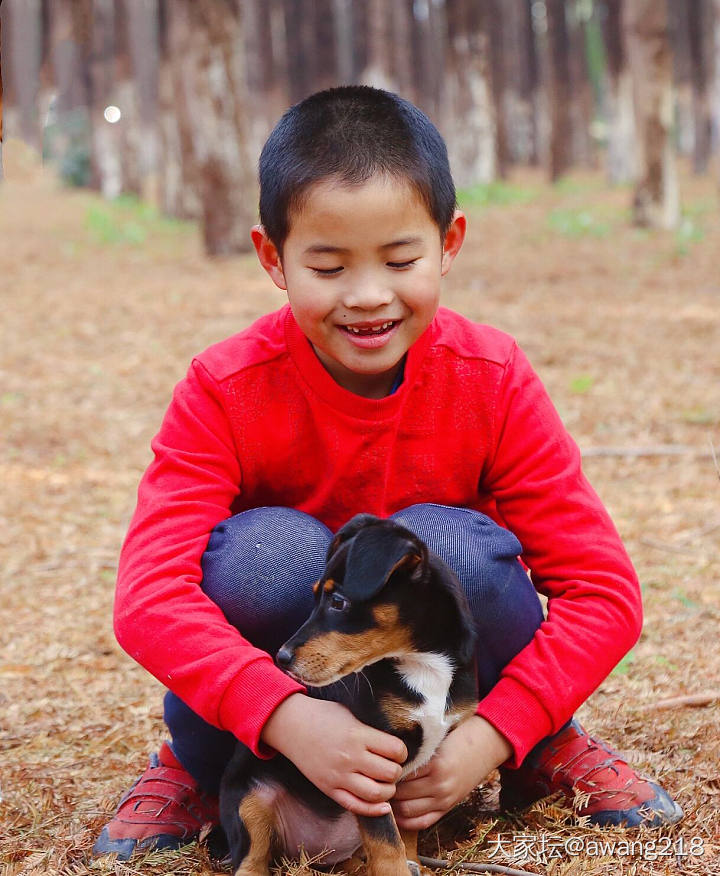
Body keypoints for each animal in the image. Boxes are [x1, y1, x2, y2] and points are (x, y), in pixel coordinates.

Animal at [219, 512, 478, 876]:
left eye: (338, 602)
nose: (281, 657)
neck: (423, 664)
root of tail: (313, 851)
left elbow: (404, 830)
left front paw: (413, 863)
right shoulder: (368, 769)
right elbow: (386, 840)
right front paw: (399, 870)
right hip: (249, 801)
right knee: (250, 859)